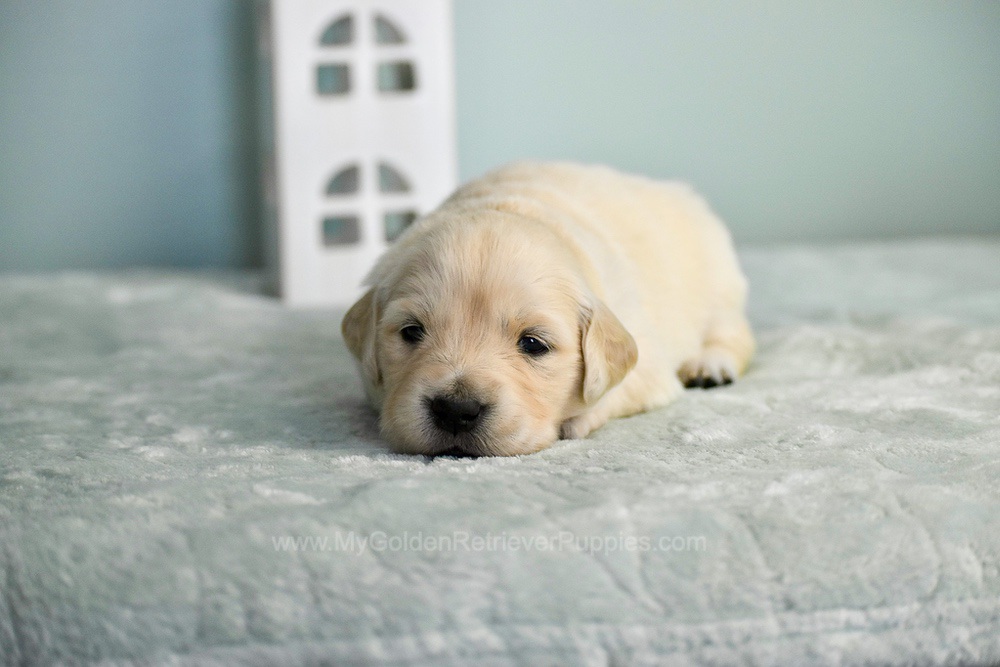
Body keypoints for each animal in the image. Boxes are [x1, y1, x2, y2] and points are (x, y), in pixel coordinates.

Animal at [342, 162, 754, 456]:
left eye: (533, 344)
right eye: (411, 332)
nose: (457, 410)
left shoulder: (649, 367)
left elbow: (614, 391)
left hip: (719, 286)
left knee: (735, 333)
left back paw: (710, 366)